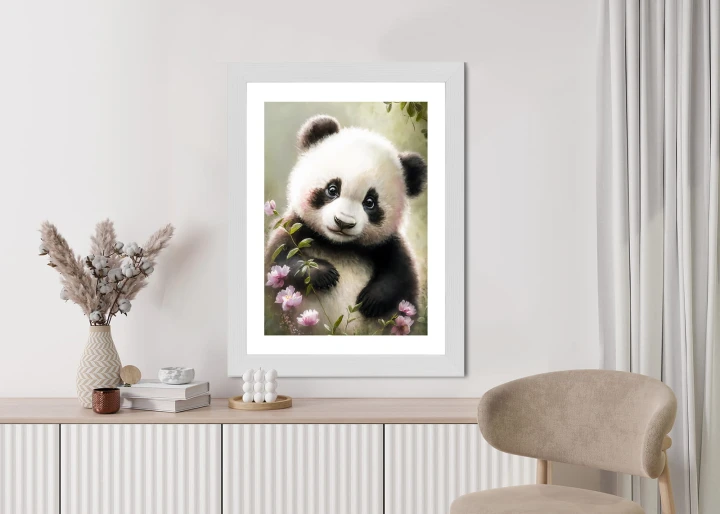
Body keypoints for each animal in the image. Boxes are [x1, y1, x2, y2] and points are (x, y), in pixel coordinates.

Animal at [265, 114, 427, 333]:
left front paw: (372, 299)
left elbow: (401, 277)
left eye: (370, 202)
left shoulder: (387, 244)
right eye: (332, 189)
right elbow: (279, 263)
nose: (343, 222)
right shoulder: (296, 228)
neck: (339, 246)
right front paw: (324, 273)